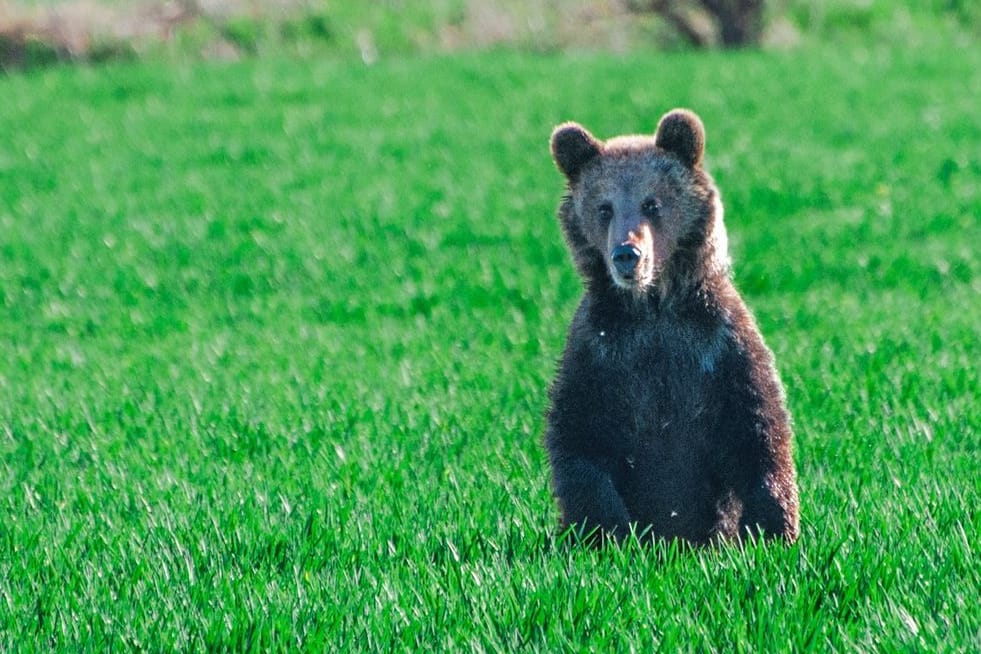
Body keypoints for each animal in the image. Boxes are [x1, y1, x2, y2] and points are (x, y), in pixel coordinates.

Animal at [540, 109, 800, 548]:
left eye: (652, 203)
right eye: (604, 207)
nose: (627, 255)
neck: (653, 307)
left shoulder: (719, 345)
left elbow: (758, 428)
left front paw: (772, 532)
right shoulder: (600, 351)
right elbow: (579, 438)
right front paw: (608, 532)